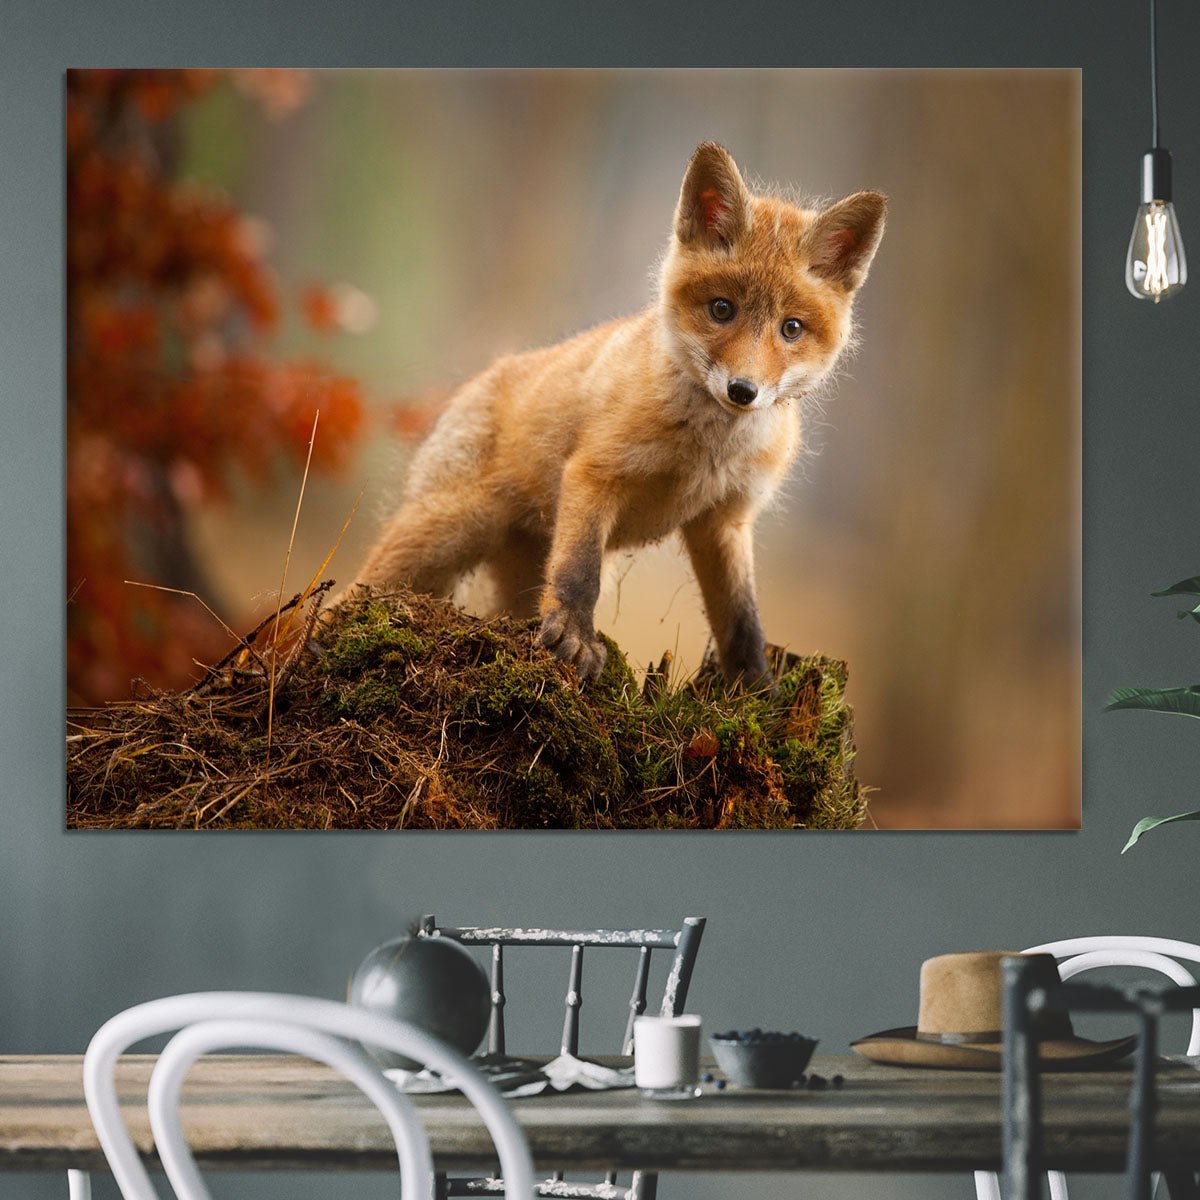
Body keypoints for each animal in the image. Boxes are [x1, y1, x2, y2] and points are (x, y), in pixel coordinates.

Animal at [348, 142, 886, 687]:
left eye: (791, 328)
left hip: (514, 571)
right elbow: (579, 573)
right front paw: (575, 640)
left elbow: (742, 621)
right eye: (722, 309)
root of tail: (481, 378)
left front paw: (756, 691)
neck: (706, 452)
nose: (742, 390)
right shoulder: (596, 473)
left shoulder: (725, 520)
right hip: (443, 533)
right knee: (353, 593)